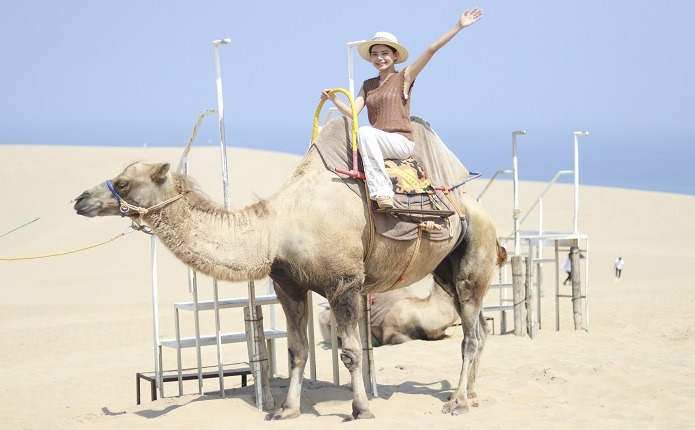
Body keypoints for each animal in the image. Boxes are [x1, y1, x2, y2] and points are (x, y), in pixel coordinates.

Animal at [73, 117, 506, 420]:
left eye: (124, 183)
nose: (79, 200)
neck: (277, 229)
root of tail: (478, 209)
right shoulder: (288, 284)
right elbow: (297, 350)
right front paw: (286, 409)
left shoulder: (345, 283)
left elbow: (351, 351)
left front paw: (361, 409)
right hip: (445, 271)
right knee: (481, 328)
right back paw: (472, 394)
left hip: (474, 259)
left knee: (470, 333)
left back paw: (456, 403)